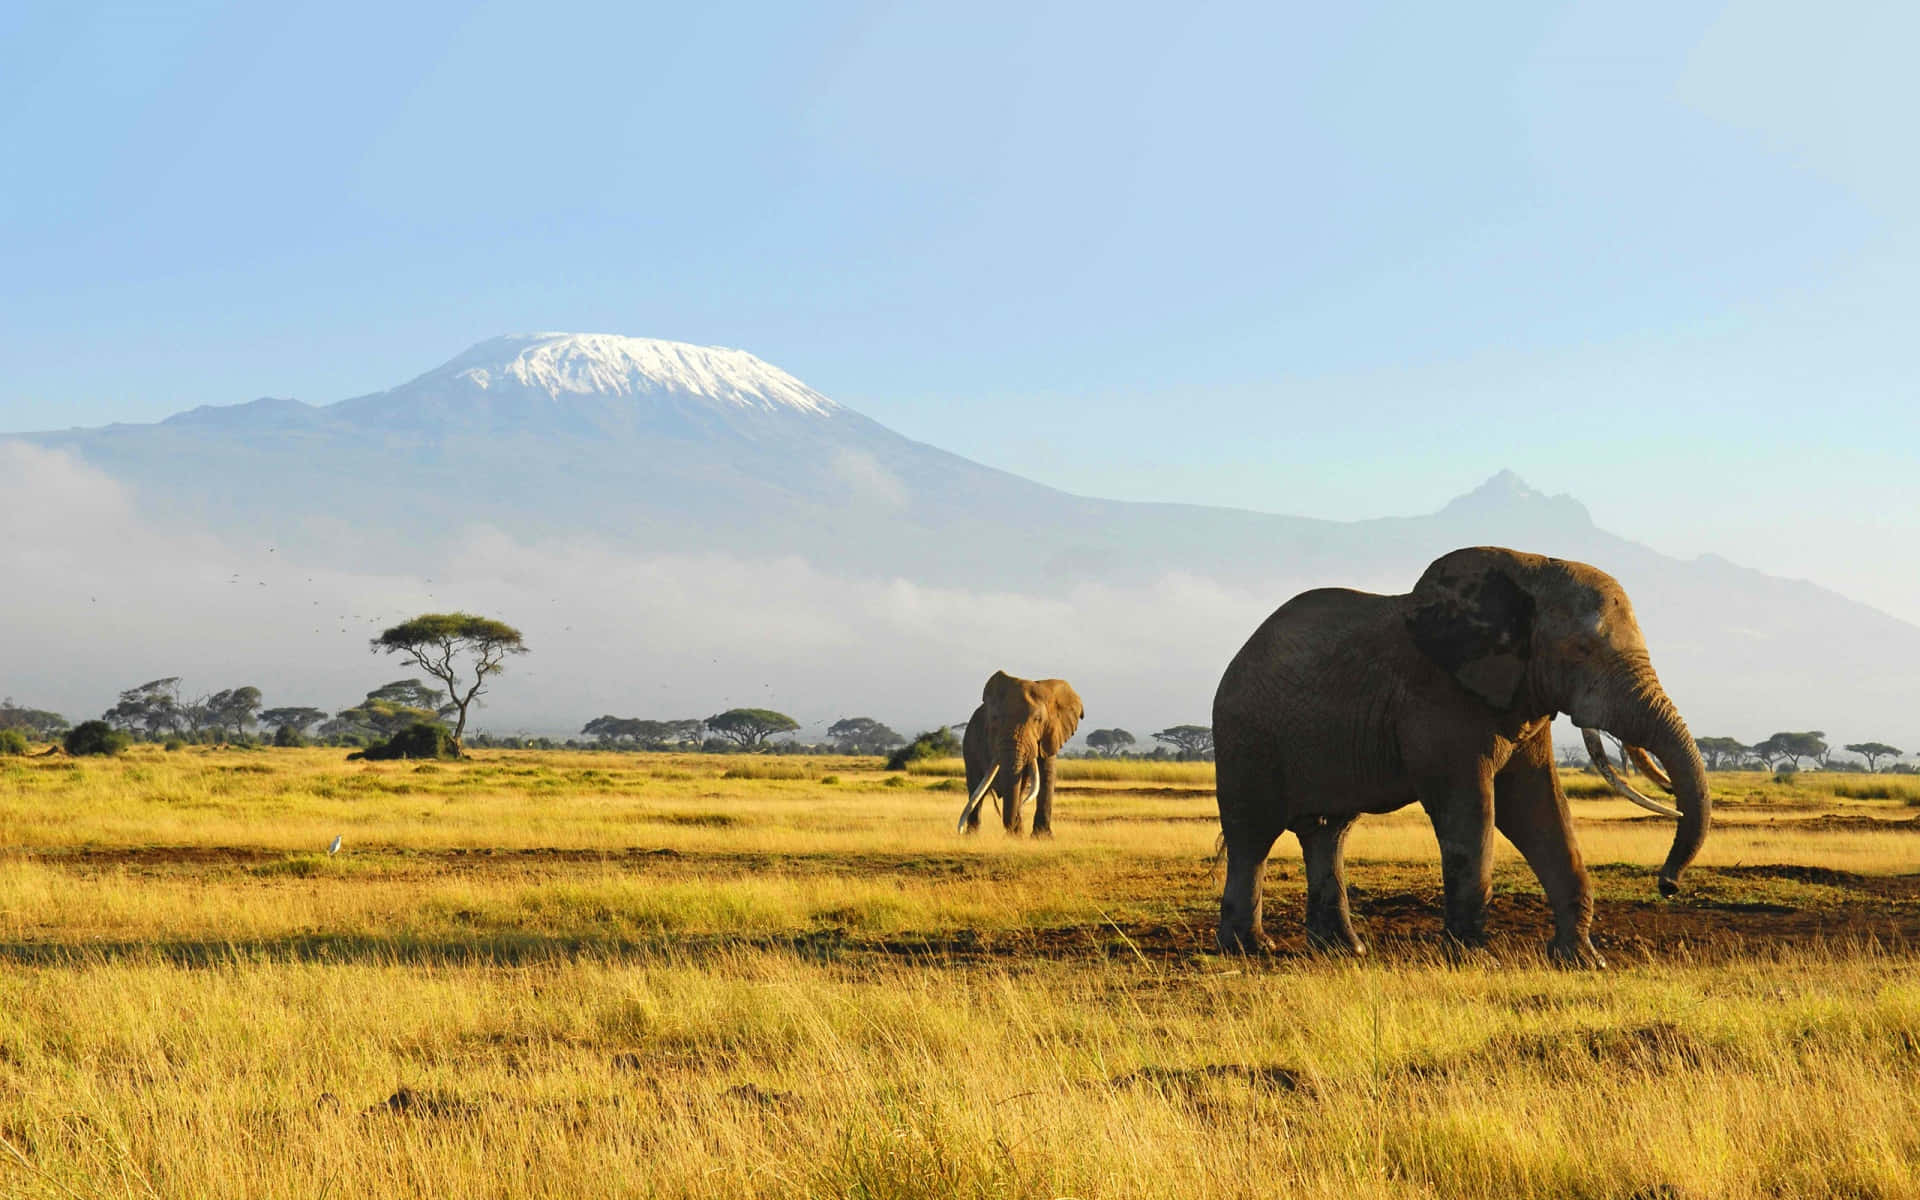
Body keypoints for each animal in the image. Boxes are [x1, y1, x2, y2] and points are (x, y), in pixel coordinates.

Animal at [955, 671, 1085, 836]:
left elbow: (1047, 775)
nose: (1011, 830)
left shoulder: (1050, 734)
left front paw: (1041, 837)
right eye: (994, 719)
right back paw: (972, 836)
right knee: (976, 787)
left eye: (1038, 719)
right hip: (969, 743)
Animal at [1212, 546, 1710, 966]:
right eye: (1582, 650)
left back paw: (1344, 950)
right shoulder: (1439, 700)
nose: (1667, 885)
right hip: (1245, 737)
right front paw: (1470, 957)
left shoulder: (1521, 697)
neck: (1530, 571)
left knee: (1327, 832)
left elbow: (1538, 808)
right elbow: (1471, 809)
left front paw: (1583, 961)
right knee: (1252, 835)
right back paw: (1249, 949)